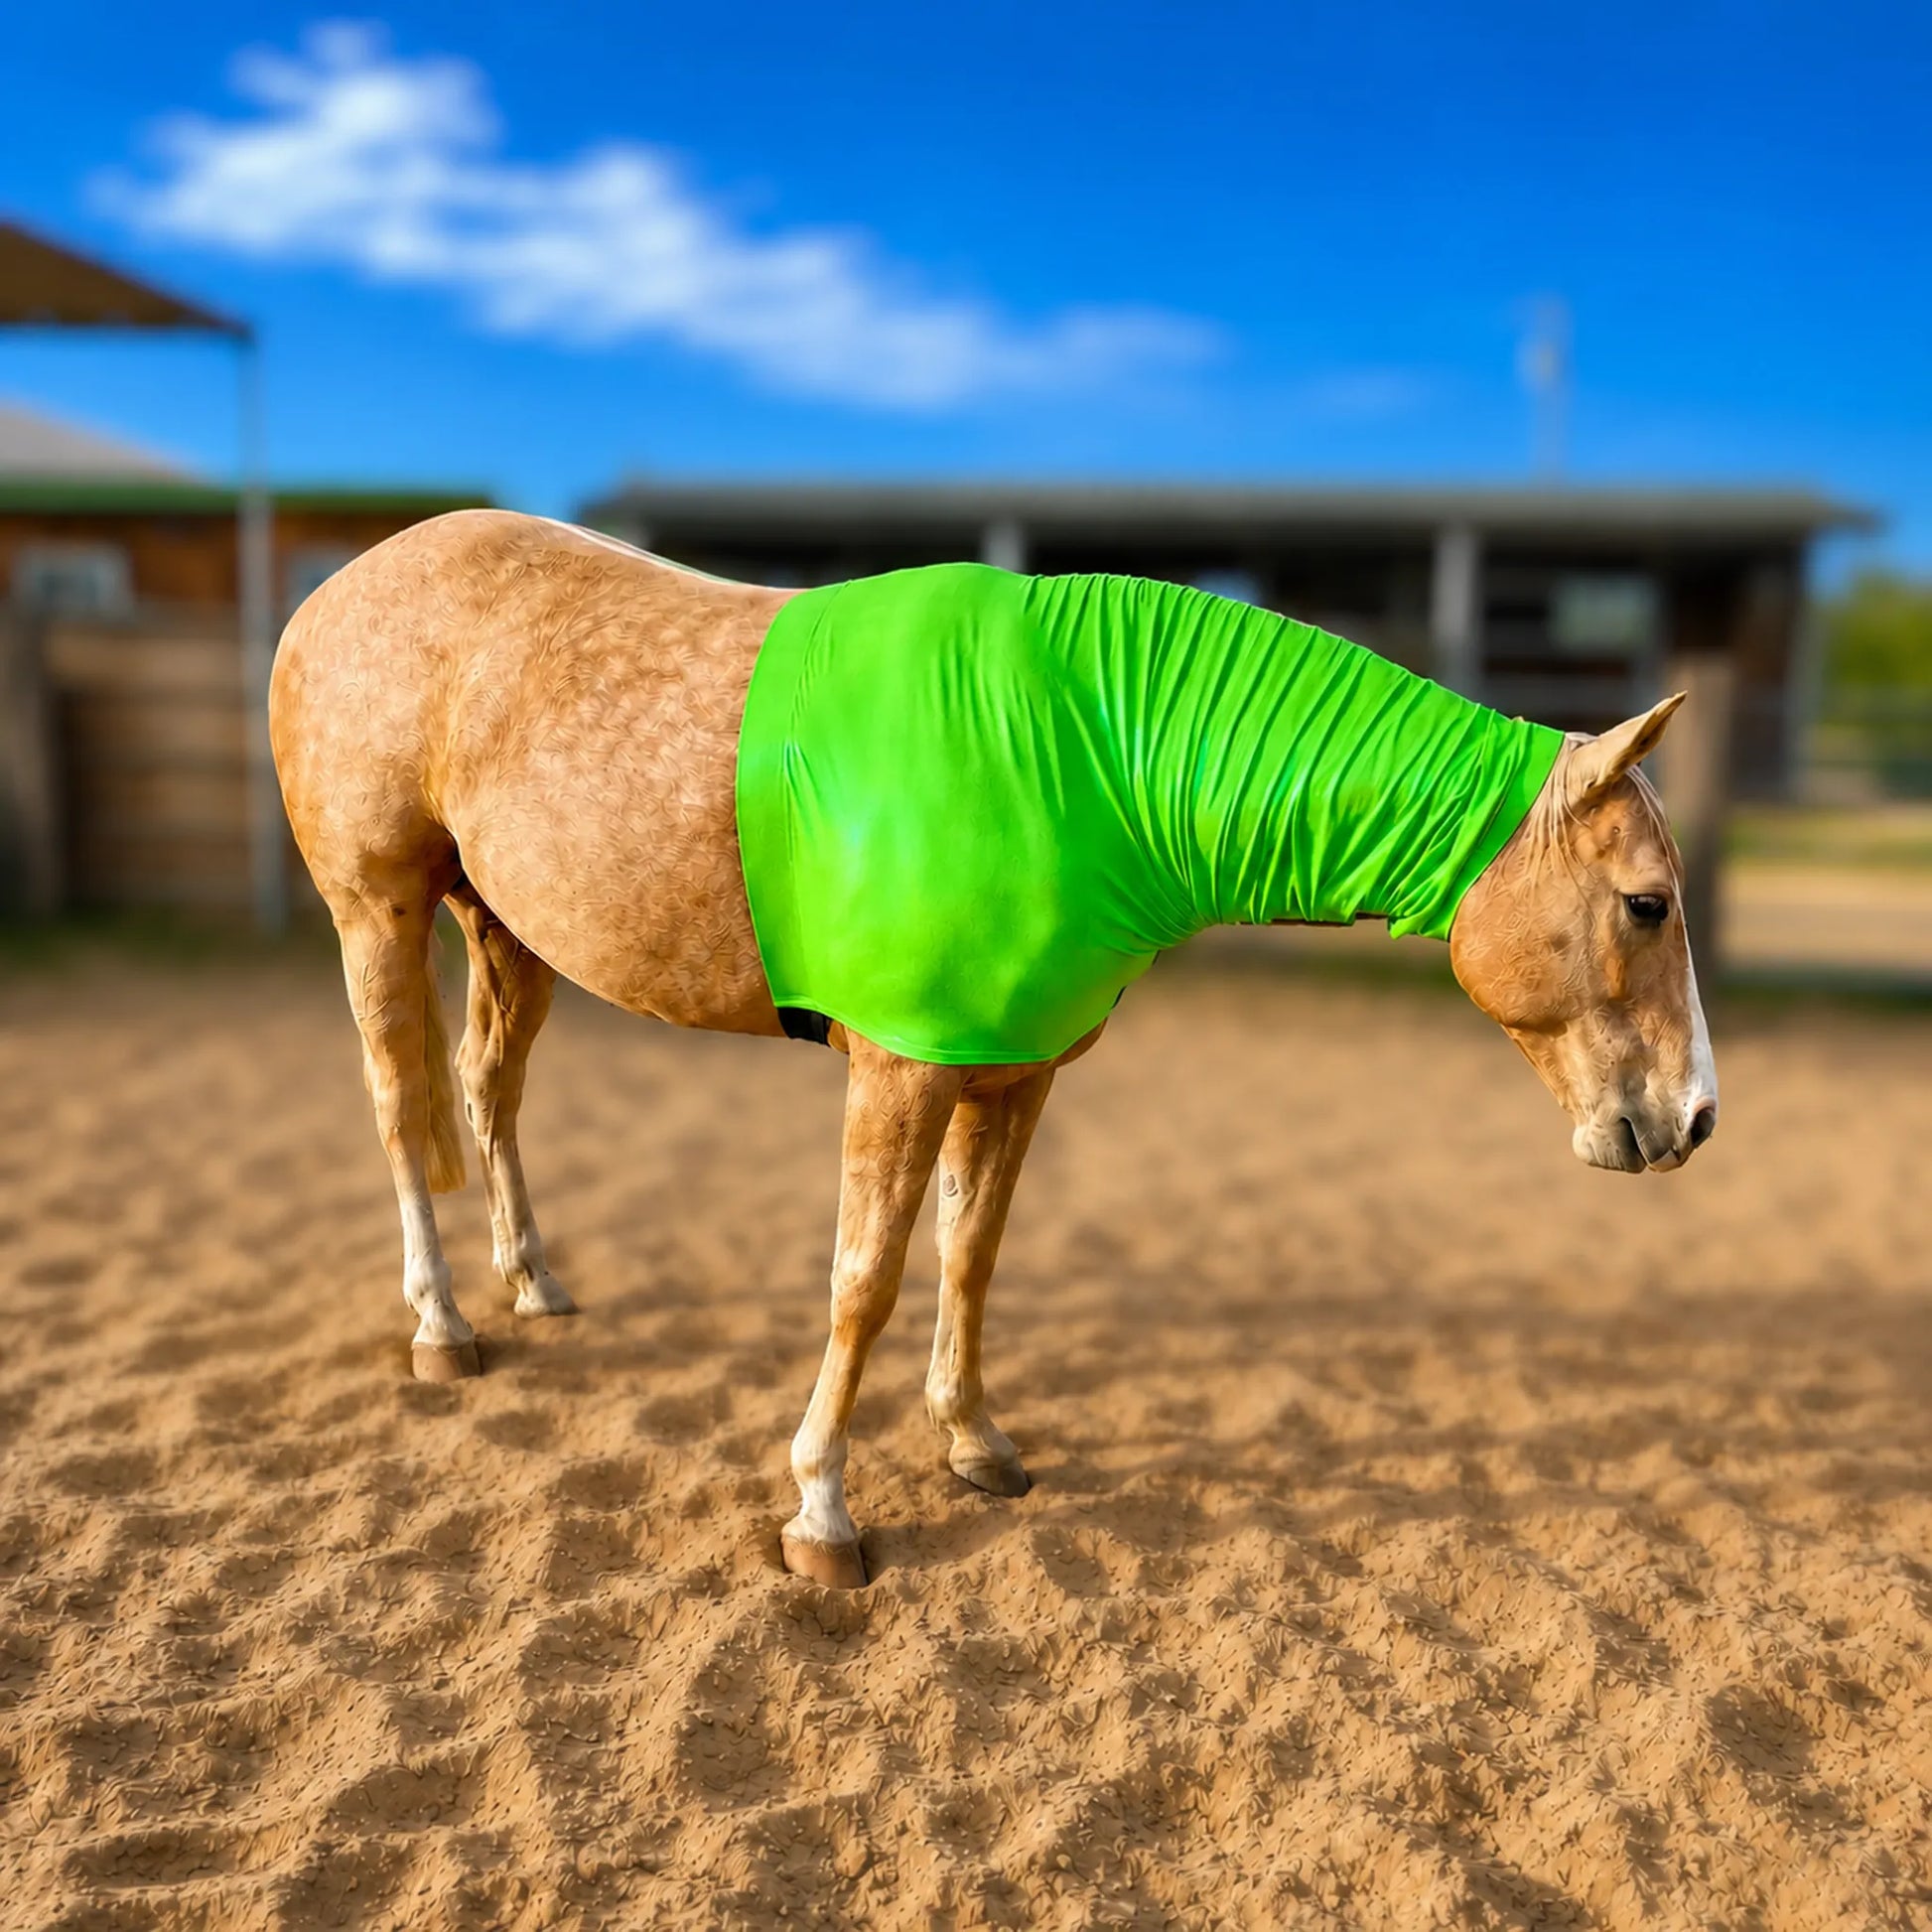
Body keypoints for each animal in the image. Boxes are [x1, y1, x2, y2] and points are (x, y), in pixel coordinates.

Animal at [270, 509, 1717, 1589]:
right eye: (1646, 903)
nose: (1692, 1118)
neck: (1084, 752)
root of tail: (333, 592)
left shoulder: (1009, 1073)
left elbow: (969, 1257)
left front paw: (974, 1443)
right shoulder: (900, 1067)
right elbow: (863, 1279)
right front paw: (821, 1512)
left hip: (506, 927)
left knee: (489, 1093)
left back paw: (531, 1280)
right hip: (377, 910)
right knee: (402, 1105)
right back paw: (442, 1325)